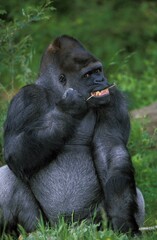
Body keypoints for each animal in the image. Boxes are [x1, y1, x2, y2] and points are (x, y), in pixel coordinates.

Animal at [0, 35, 145, 234]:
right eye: (88, 75)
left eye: (98, 70)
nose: (101, 79)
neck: (54, 92)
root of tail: (70, 229)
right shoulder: (25, 99)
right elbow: (14, 151)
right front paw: (68, 110)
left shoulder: (112, 98)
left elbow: (110, 151)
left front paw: (122, 219)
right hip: (46, 225)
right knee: (8, 177)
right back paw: (26, 233)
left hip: (92, 225)